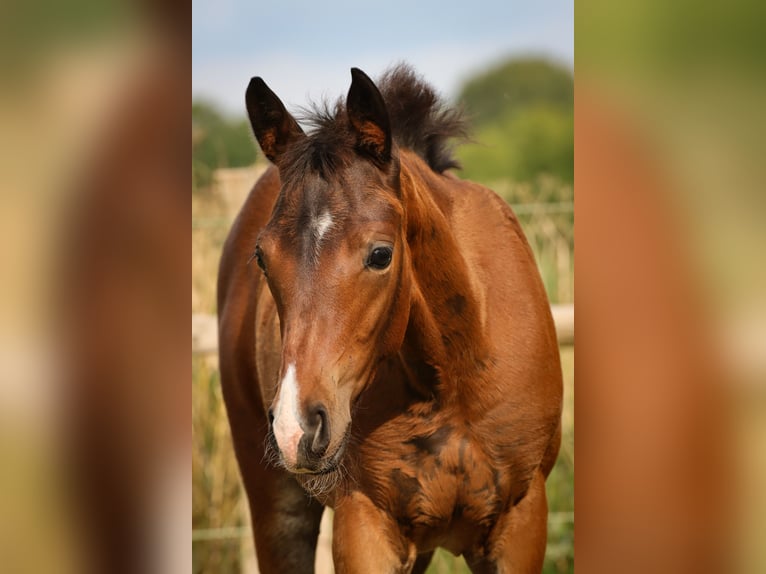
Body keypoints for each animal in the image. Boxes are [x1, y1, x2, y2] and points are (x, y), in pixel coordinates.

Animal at [216, 65, 564, 572]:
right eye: (262, 258)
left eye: (381, 254)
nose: (296, 427)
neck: (451, 381)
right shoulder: (364, 523)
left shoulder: (521, 522)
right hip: (276, 504)